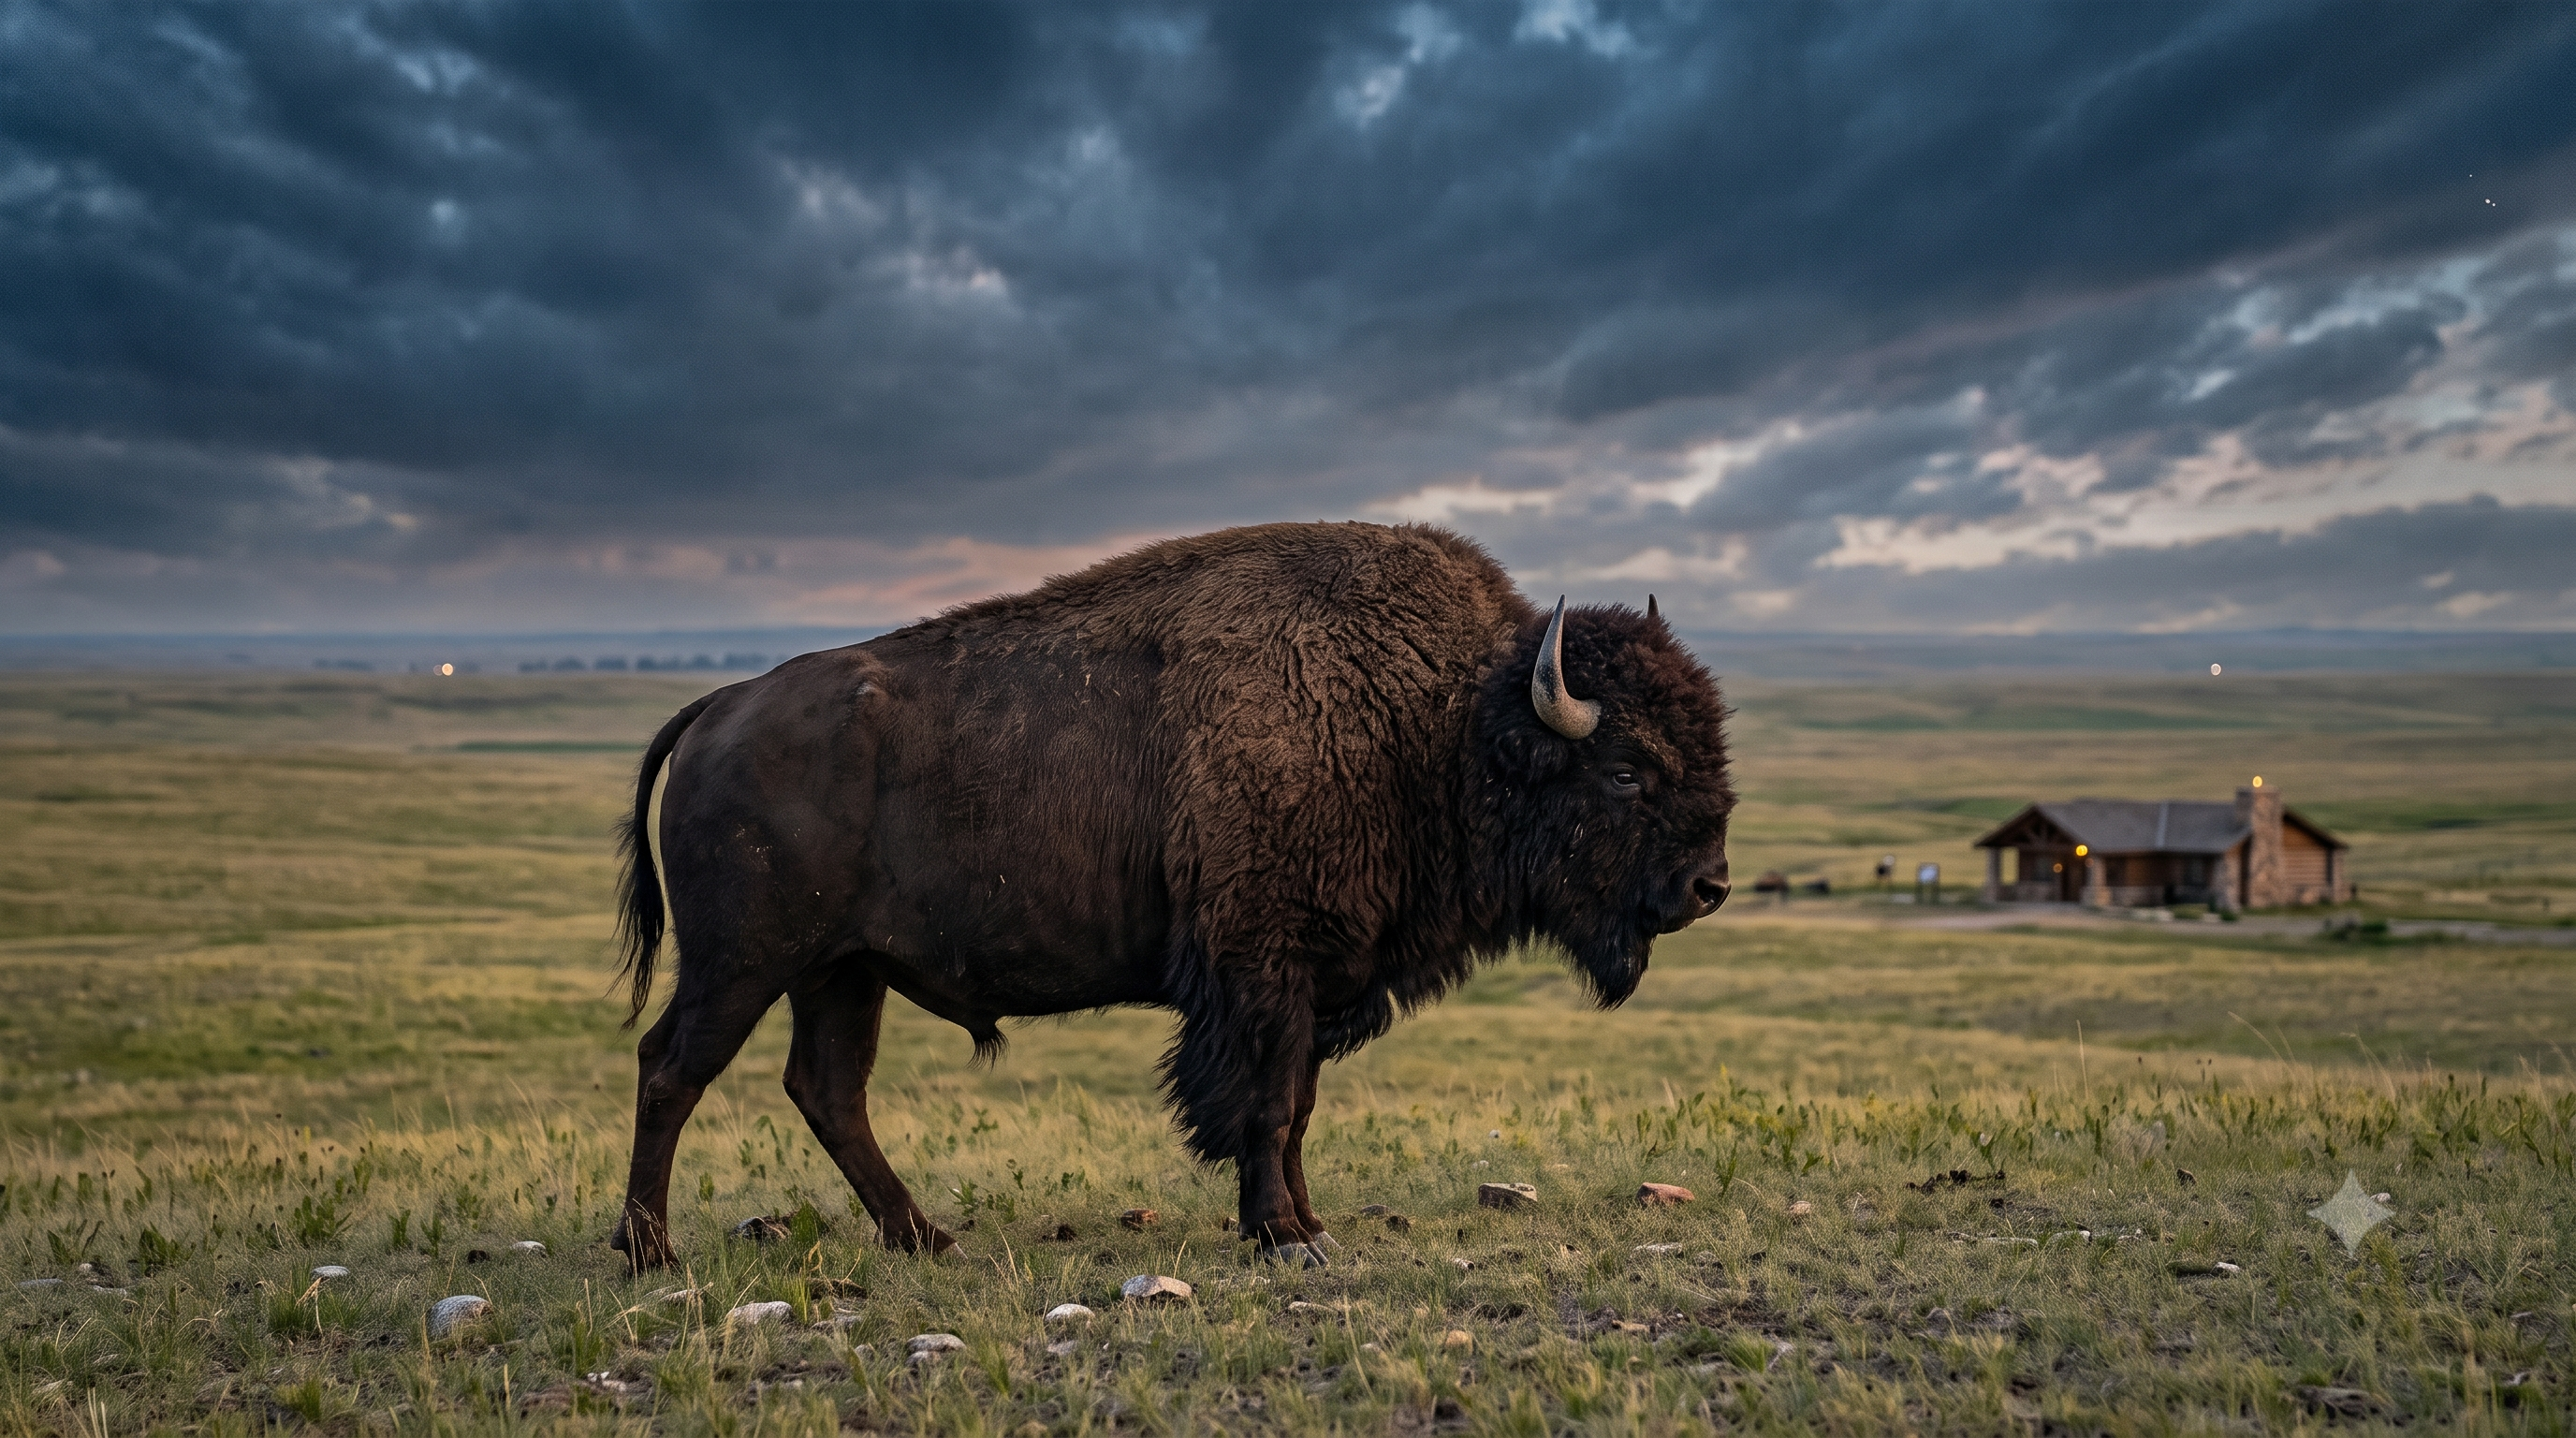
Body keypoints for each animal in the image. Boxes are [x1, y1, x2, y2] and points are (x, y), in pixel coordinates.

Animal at [608, 521, 1733, 1269]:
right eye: (1627, 769)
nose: (1708, 885)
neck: (1440, 718)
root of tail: (724, 704)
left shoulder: (1312, 978)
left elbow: (1297, 1108)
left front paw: (1305, 1224)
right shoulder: (1264, 970)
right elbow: (1267, 1105)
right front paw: (1284, 1238)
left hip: (843, 971)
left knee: (828, 1090)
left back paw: (925, 1238)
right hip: (744, 961)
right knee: (671, 1068)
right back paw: (652, 1252)